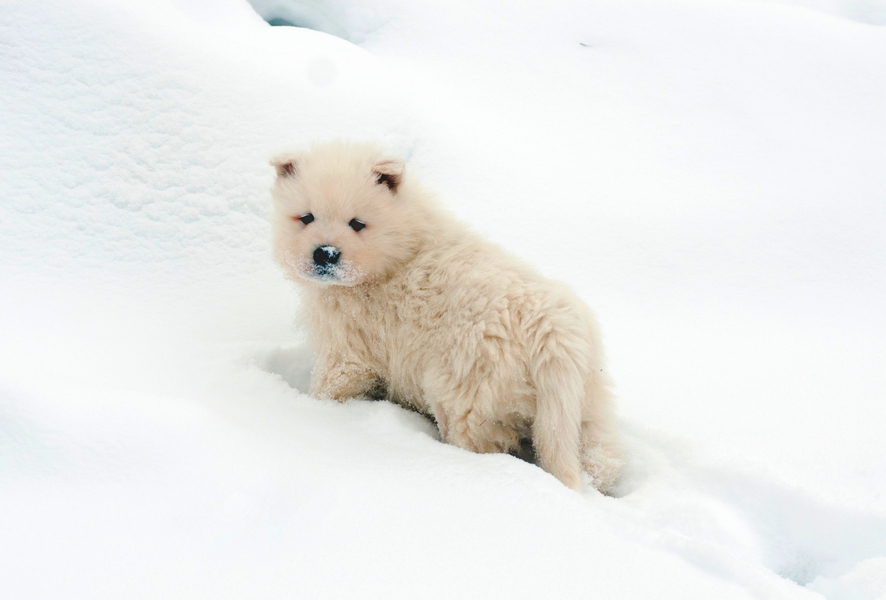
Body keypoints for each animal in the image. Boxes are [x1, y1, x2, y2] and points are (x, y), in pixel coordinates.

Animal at [270, 142, 624, 492]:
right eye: (306, 217)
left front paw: (315, 409)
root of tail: (551, 332)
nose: (325, 254)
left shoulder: (348, 345)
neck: (400, 249)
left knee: (481, 440)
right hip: (585, 399)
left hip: (466, 392)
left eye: (357, 223)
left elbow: (333, 382)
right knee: (599, 451)